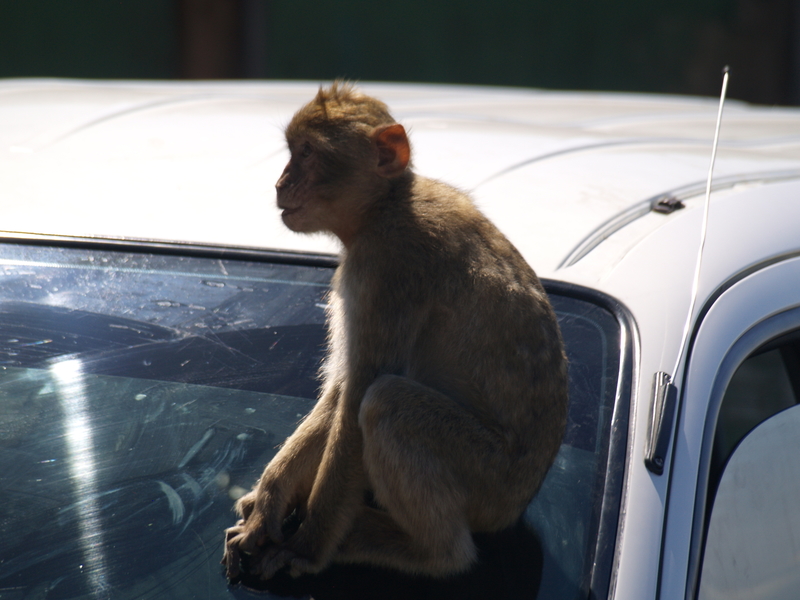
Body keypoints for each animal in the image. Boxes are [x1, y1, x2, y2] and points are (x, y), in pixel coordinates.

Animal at [222, 81, 564, 580]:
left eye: (307, 153)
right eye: (292, 151)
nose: (280, 183)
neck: (385, 206)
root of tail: (518, 504)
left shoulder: (390, 268)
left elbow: (357, 396)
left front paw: (308, 546)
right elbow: (341, 390)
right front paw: (268, 503)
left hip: (488, 480)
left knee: (387, 402)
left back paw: (425, 551)